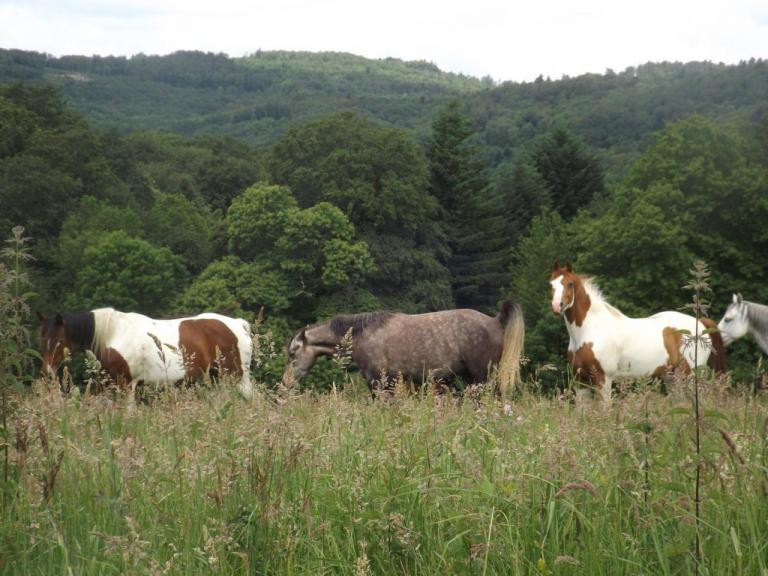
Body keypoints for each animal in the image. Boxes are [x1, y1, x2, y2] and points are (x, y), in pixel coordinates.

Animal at [37, 308, 254, 398]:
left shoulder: (127, 384)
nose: (47, 371)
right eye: (41, 338)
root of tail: (238, 324)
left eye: (59, 341)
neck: (114, 333)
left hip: (238, 378)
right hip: (218, 378)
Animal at [282, 300, 528, 394]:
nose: (285, 383)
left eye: (293, 353)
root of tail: (494, 320)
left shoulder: (380, 383)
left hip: (482, 378)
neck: (364, 335)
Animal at [548, 260, 724, 400]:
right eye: (551, 285)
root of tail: (700, 323)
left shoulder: (603, 379)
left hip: (693, 376)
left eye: (570, 284)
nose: (557, 306)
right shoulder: (580, 381)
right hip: (673, 377)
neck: (589, 331)